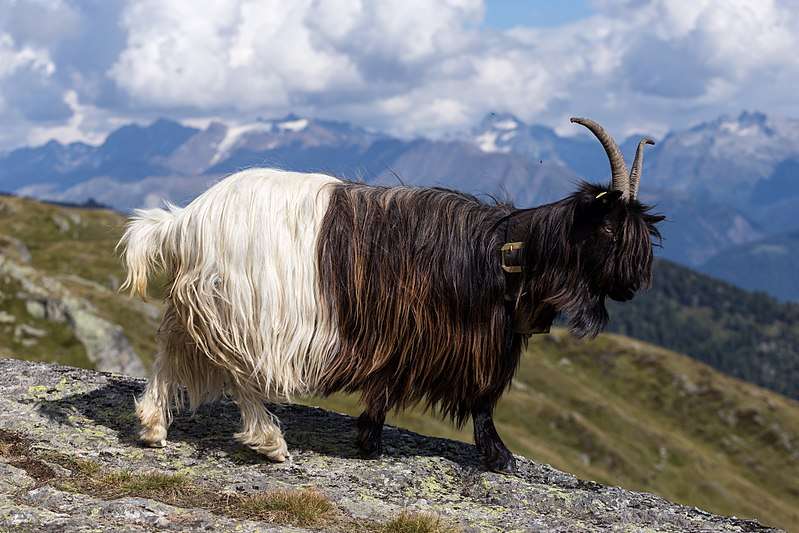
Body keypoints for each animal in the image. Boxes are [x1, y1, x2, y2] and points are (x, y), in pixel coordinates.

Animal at [119, 117, 663, 472]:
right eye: (610, 230)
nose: (632, 287)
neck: (504, 251)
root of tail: (185, 221)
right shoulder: (454, 339)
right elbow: (482, 399)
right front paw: (497, 455)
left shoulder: (411, 336)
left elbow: (389, 386)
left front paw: (368, 437)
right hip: (243, 308)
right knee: (238, 373)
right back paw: (269, 441)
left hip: (199, 303)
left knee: (171, 349)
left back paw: (153, 426)